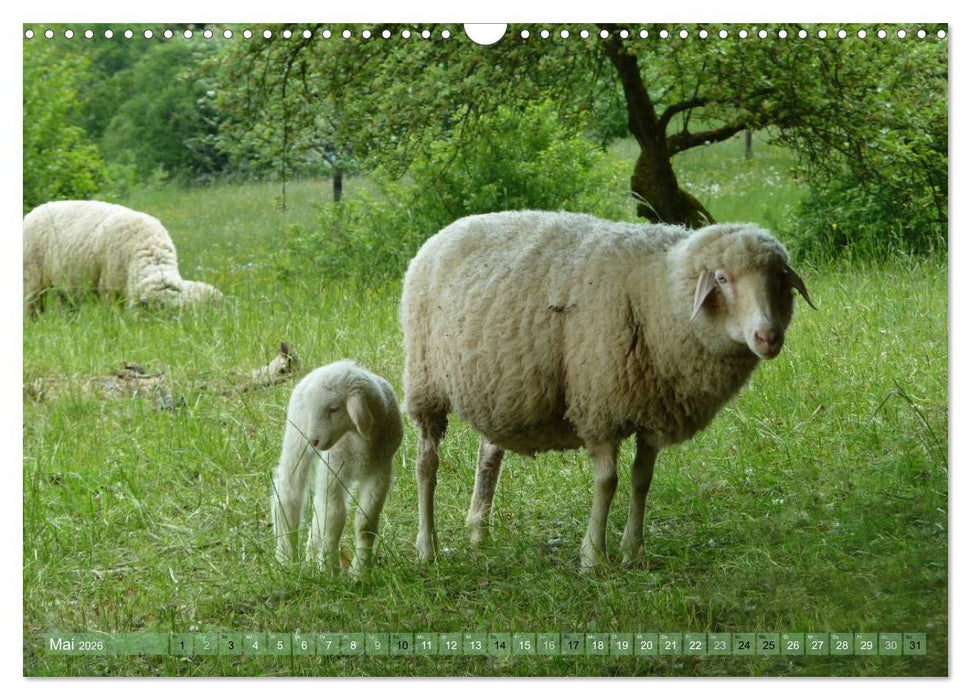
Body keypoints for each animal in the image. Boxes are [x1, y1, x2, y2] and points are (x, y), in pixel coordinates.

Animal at [271, 360, 403, 575]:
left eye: (333, 409)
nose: (313, 440)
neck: (359, 443)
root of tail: (327, 366)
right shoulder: (333, 470)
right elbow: (334, 521)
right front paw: (329, 570)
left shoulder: (380, 471)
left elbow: (365, 523)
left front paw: (360, 571)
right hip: (296, 438)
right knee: (288, 492)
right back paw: (285, 558)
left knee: (318, 507)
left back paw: (310, 558)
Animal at [400, 210, 816, 570]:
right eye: (723, 278)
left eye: (779, 279)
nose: (768, 337)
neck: (658, 293)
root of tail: (447, 231)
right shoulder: (600, 405)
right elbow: (607, 482)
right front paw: (594, 556)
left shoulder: (653, 411)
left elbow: (642, 479)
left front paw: (634, 550)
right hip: (425, 382)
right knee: (426, 464)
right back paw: (427, 548)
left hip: (499, 390)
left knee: (488, 456)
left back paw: (478, 533)